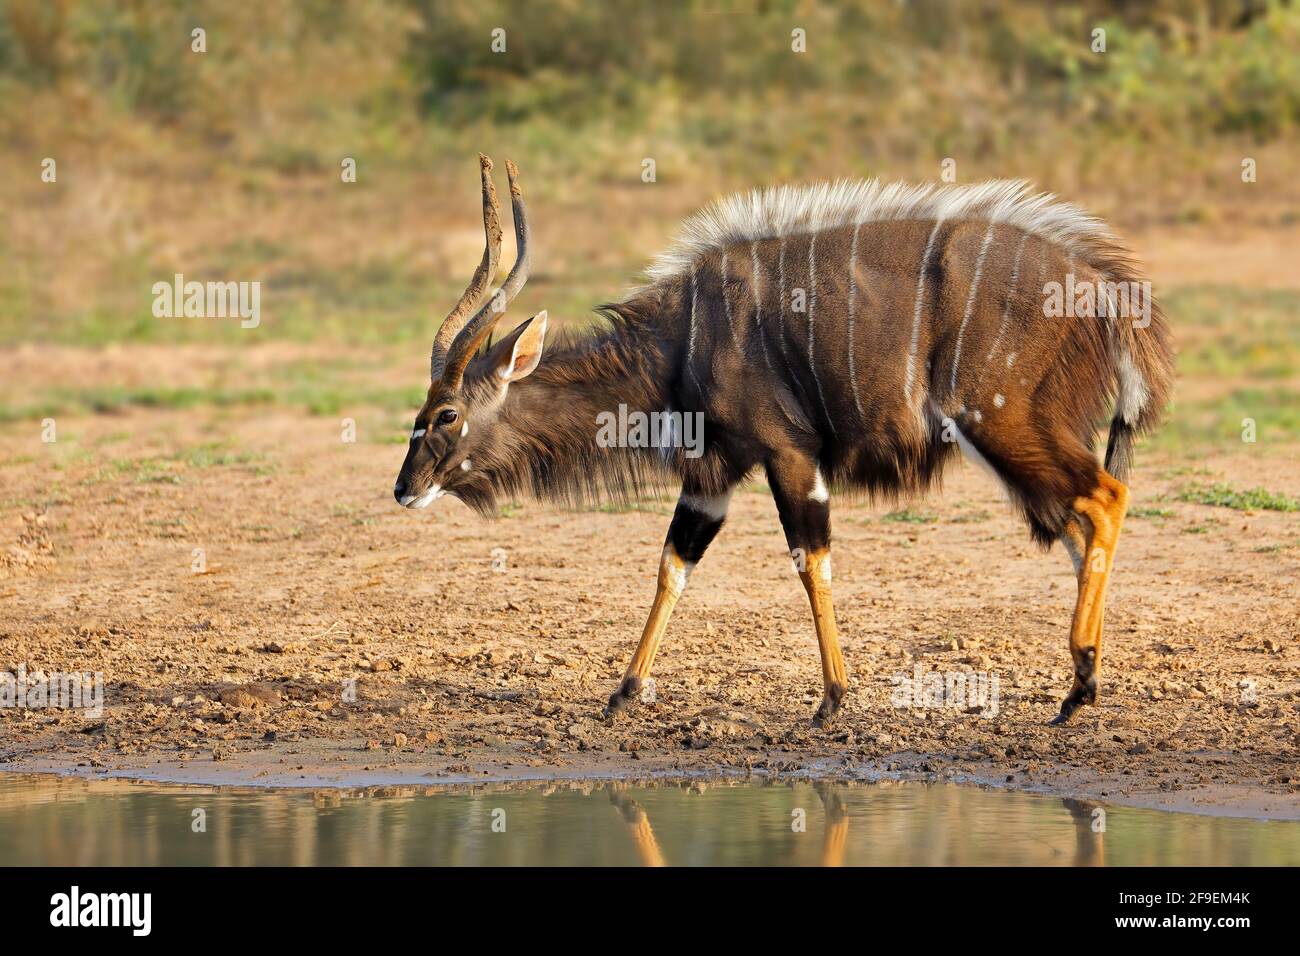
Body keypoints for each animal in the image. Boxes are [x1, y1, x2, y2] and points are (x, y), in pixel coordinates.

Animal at [390, 155, 1175, 723]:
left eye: (446, 414)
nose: (404, 488)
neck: (681, 342)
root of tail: (1106, 291)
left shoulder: (787, 454)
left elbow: (811, 560)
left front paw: (832, 700)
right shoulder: (711, 476)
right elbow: (673, 564)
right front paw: (622, 693)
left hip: (1003, 423)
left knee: (1106, 496)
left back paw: (1078, 688)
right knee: (1074, 523)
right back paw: (1080, 688)